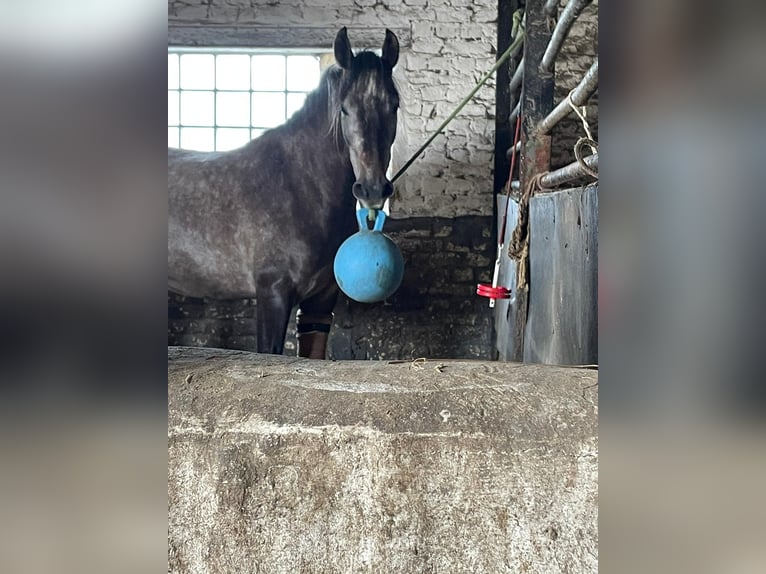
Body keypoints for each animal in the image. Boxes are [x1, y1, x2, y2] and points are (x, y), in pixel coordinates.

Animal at [166, 29, 400, 360]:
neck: (298, 185)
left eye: (394, 105)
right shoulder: (273, 292)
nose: (372, 189)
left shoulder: (319, 304)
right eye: (344, 108)